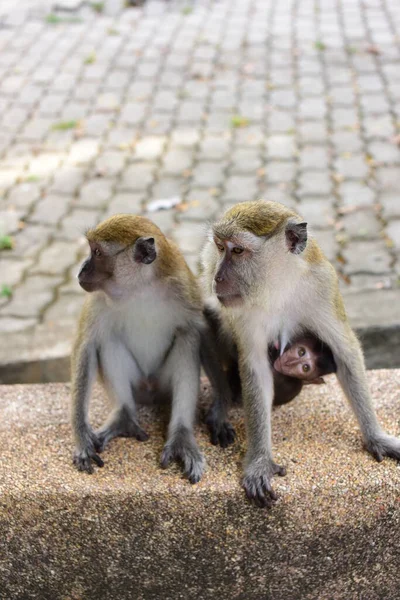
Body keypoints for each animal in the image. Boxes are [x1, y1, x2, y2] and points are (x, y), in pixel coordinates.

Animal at [70, 213, 212, 486]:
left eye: (97, 252)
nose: (81, 270)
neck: (139, 290)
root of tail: (149, 390)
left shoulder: (183, 290)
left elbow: (193, 336)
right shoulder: (96, 301)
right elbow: (87, 347)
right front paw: (82, 436)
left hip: (161, 383)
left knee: (185, 341)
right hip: (138, 385)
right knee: (108, 340)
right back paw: (124, 416)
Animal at [202, 200, 400, 506]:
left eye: (237, 251)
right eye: (220, 247)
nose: (217, 277)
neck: (279, 286)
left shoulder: (322, 286)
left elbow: (345, 351)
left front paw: (375, 437)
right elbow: (255, 369)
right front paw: (260, 461)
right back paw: (223, 402)